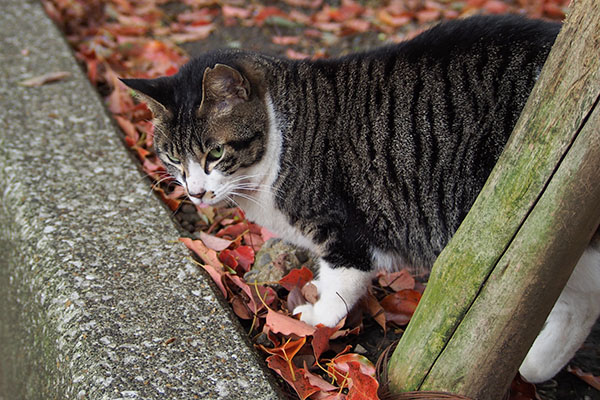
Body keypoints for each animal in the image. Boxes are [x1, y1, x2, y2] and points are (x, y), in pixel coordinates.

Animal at [122, 14, 600, 384]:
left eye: (215, 153)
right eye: (172, 157)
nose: (196, 192)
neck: (282, 133)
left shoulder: (346, 231)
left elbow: (341, 283)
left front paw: (314, 320)